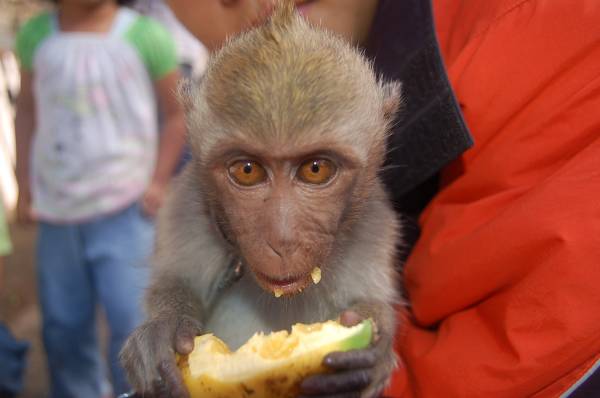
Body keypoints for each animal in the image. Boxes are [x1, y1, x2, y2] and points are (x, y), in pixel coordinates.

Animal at [120, 1, 404, 396]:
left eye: (315, 169)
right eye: (247, 170)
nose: (282, 241)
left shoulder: (376, 227)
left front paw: (372, 350)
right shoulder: (186, 209)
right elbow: (177, 280)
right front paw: (164, 325)